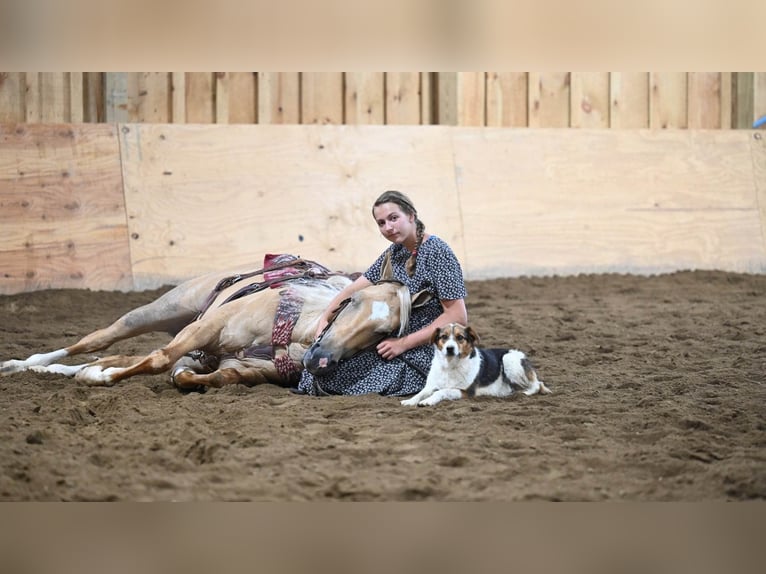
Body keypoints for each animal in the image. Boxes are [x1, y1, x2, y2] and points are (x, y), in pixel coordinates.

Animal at [0, 255, 432, 394]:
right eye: (352, 301)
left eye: (383, 333)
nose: (320, 359)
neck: (298, 328)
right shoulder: (208, 329)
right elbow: (158, 360)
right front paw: (101, 379)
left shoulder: (235, 367)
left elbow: (203, 376)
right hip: (155, 312)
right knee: (95, 343)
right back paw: (22, 364)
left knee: (114, 355)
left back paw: (61, 371)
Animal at [402, 324, 552, 410]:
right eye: (443, 337)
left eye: (460, 337)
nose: (450, 348)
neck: (450, 365)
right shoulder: (431, 386)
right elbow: (421, 393)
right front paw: (410, 401)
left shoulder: (465, 391)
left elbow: (441, 392)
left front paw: (427, 401)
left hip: (508, 360)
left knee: (537, 384)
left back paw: (526, 392)